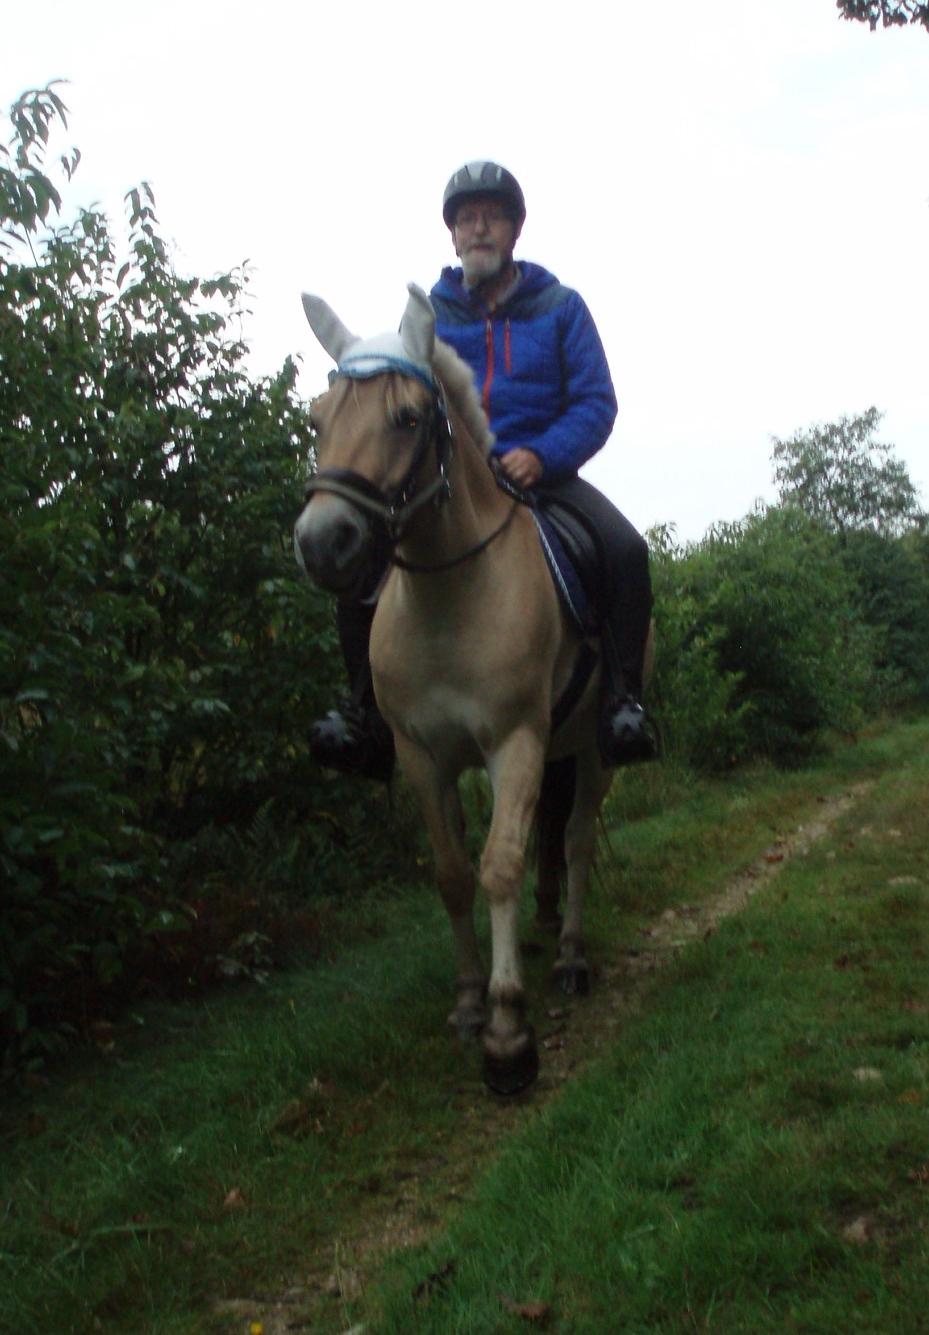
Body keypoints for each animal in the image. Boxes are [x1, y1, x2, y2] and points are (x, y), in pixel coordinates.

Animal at [297, 287, 613, 1089]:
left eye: (409, 417)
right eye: (317, 417)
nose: (322, 543)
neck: (449, 597)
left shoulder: (515, 742)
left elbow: (497, 866)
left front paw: (507, 1031)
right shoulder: (421, 754)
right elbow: (450, 872)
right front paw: (471, 1000)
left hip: (590, 747)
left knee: (575, 837)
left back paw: (570, 954)